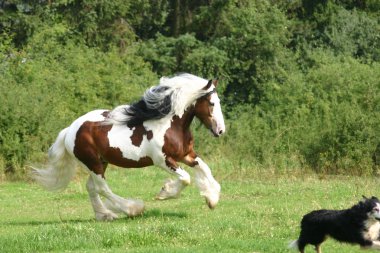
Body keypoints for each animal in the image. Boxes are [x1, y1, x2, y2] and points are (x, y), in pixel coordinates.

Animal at [32, 73, 226, 221]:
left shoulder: (187, 155)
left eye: (219, 102)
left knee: (92, 187)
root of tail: (70, 130)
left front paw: (212, 199)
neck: (170, 125)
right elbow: (186, 178)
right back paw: (132, 209)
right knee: (102, 188)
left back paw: (105, 215)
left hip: (100, 162)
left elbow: (204, 168)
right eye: (211, 103)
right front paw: (164, 192)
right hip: (93, 163)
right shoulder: (163, 160)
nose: (220, 130)